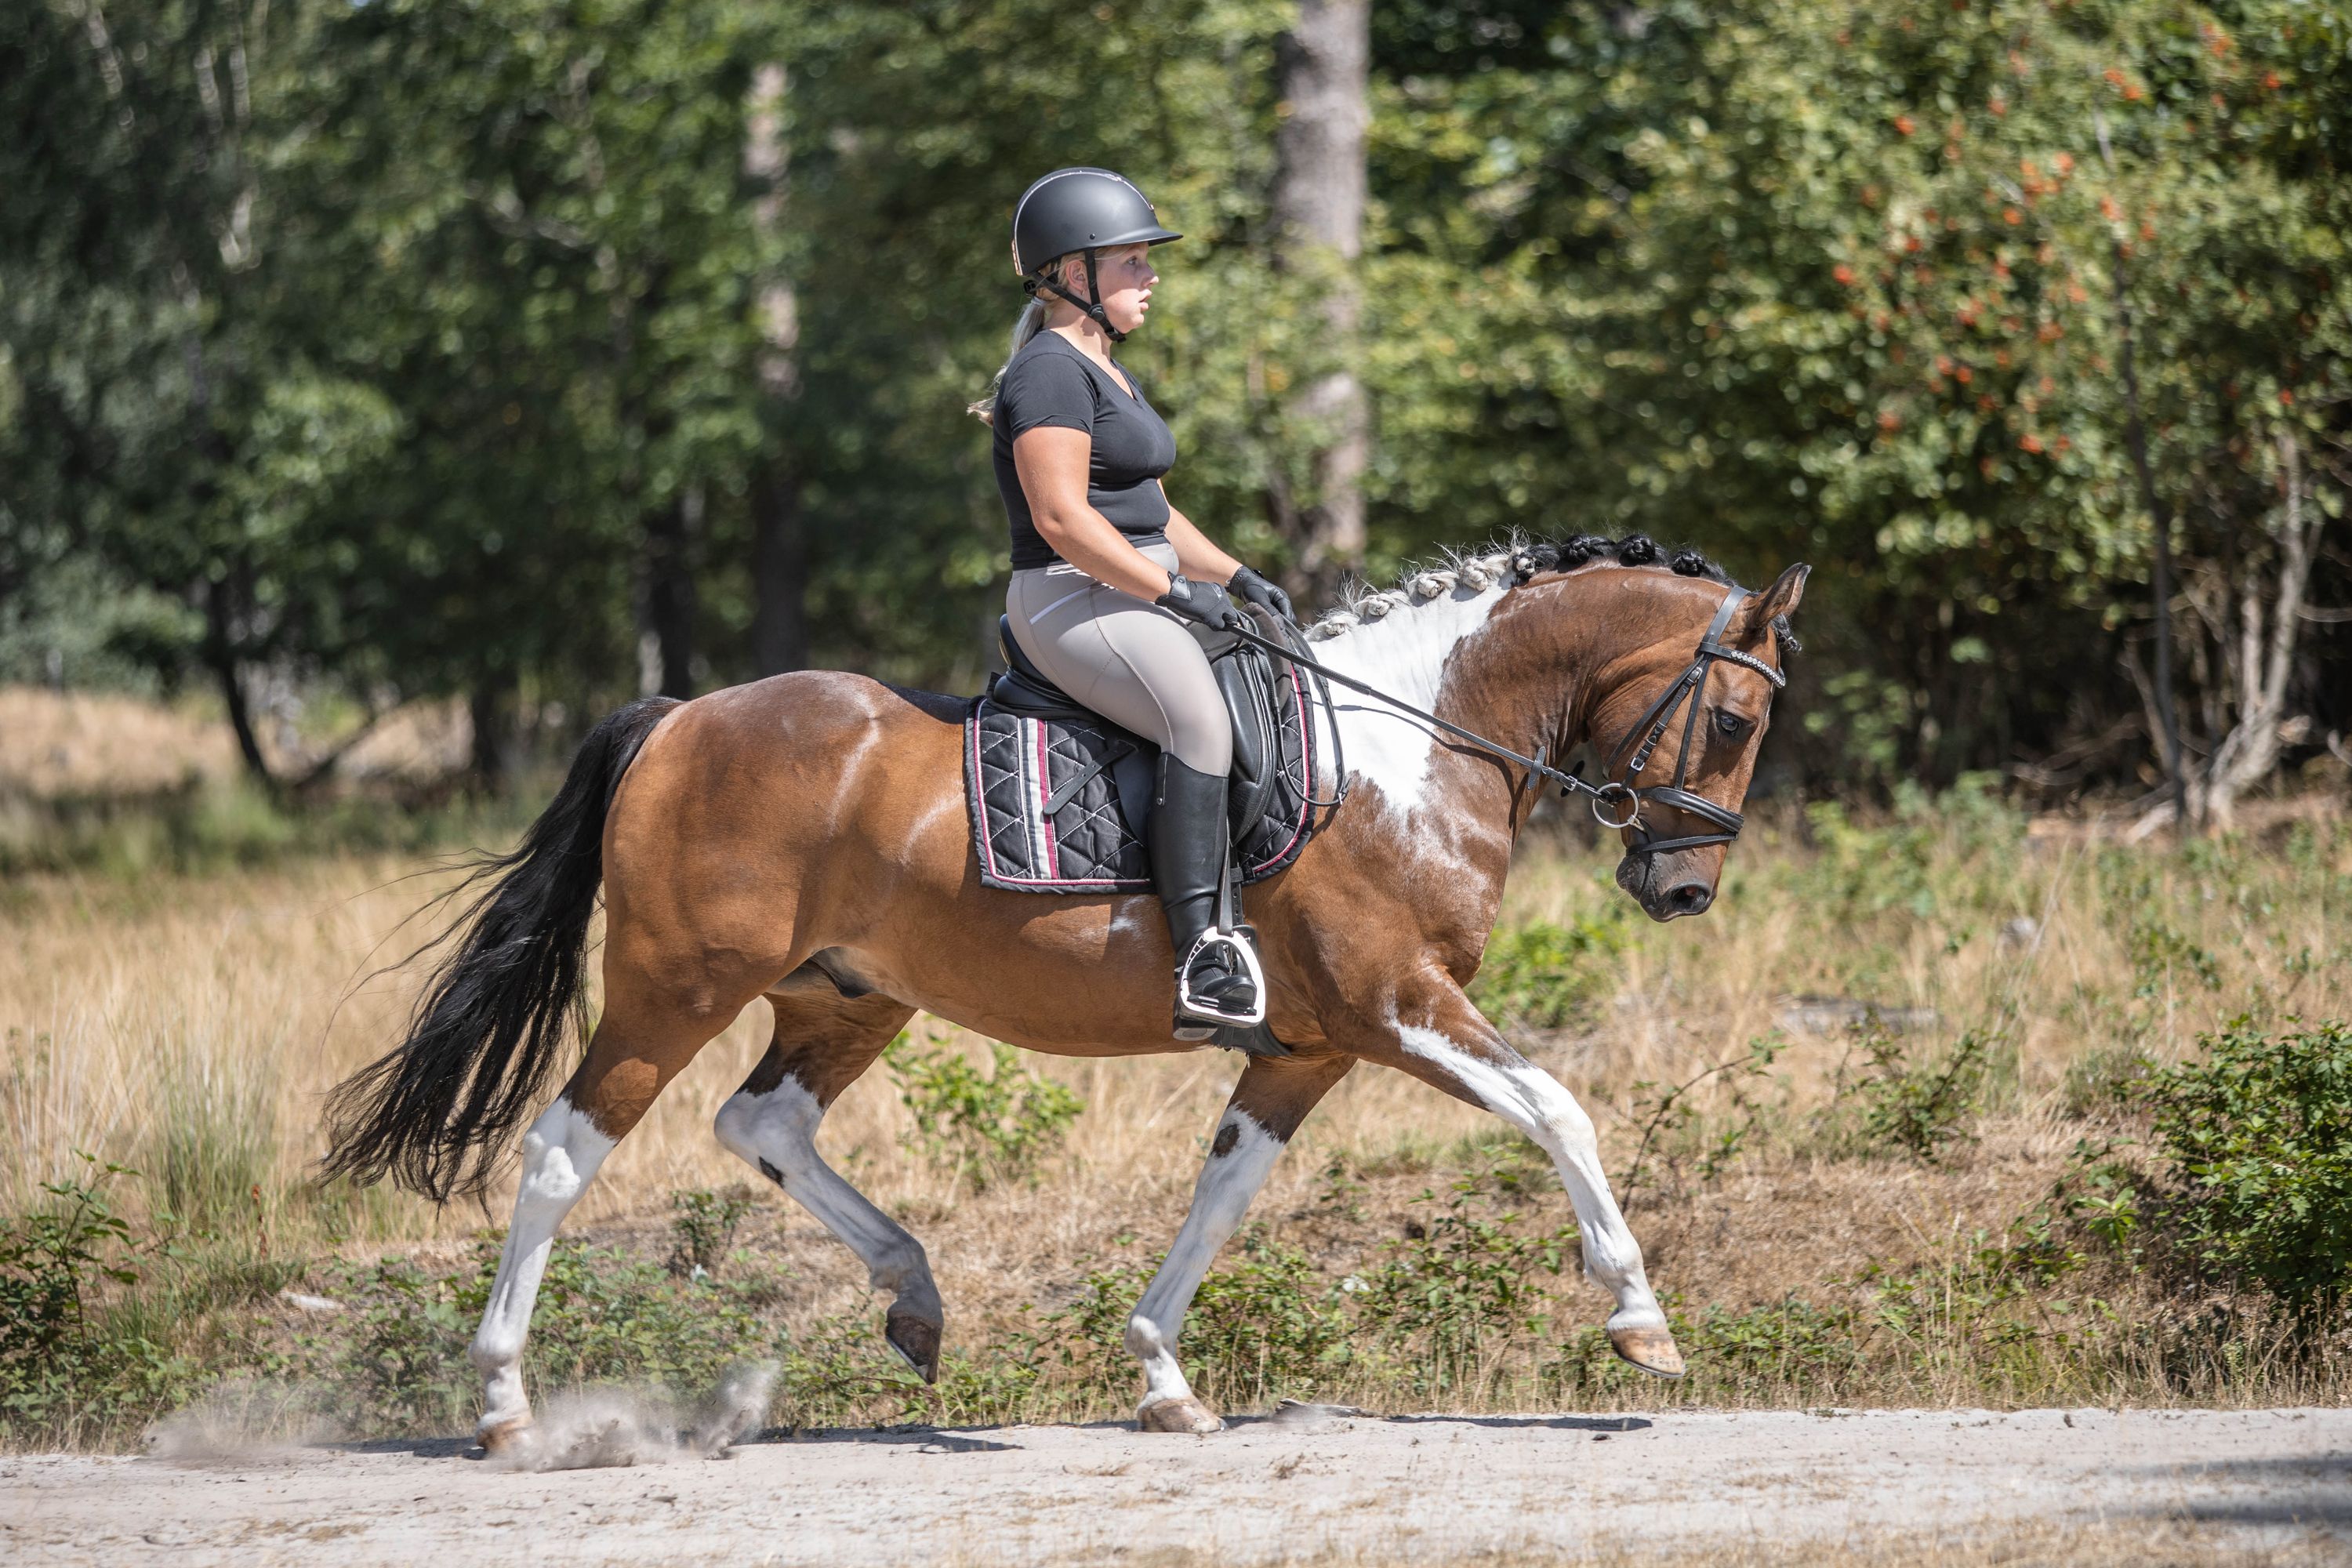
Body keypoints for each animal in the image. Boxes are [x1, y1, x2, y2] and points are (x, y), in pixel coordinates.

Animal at [323, 534, 1808, 1450]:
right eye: (1735, 721)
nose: (1682, 890)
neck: (1408, 749)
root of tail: (679, 716)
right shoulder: (1396, 1007)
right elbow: (1560, 1109)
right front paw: (1641, 1324)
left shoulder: (1308, 1047)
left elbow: (1225, 1190)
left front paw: (1160, 1373)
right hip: (670, 991)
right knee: (563, 1154)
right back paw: (504, 1404)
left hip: (848, 997)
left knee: (763, 1124)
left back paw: (913, 1296)